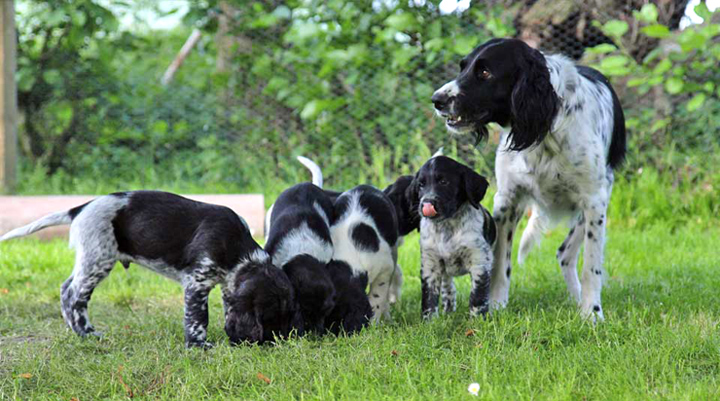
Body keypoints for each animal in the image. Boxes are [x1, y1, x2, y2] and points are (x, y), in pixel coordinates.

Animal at [0, 191, 298, 346]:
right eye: (269, 317)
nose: (280, 342)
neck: (236, 247)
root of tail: (81, 208)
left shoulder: (225, 284)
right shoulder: (197, 281)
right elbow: (198, 318)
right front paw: (198, 345)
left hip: (91, 259)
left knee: (65, 289)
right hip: (98, 258)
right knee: (74, 296)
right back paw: (86, 332)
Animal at [408, 155, 498, 318]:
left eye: (444, 182)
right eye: (421, 185)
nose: (426, 203)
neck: (447, 226)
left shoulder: (479, 261)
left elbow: (478, 296)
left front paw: (477, 321)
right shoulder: (430, 263)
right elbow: (429, 297)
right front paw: (429, 321)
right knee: (448, 287)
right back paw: (448, 310)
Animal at [430, 36, 628, 318]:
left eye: (485, 72)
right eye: (463, 67)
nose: (436, 99)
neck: (544, 130)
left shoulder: (594, 200)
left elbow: (592, 267)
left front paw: (592, 313)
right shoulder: (507, 199)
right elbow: (500, 263)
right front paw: (496, 307)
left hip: (597, 200)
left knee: (566, 254)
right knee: (563, 254)